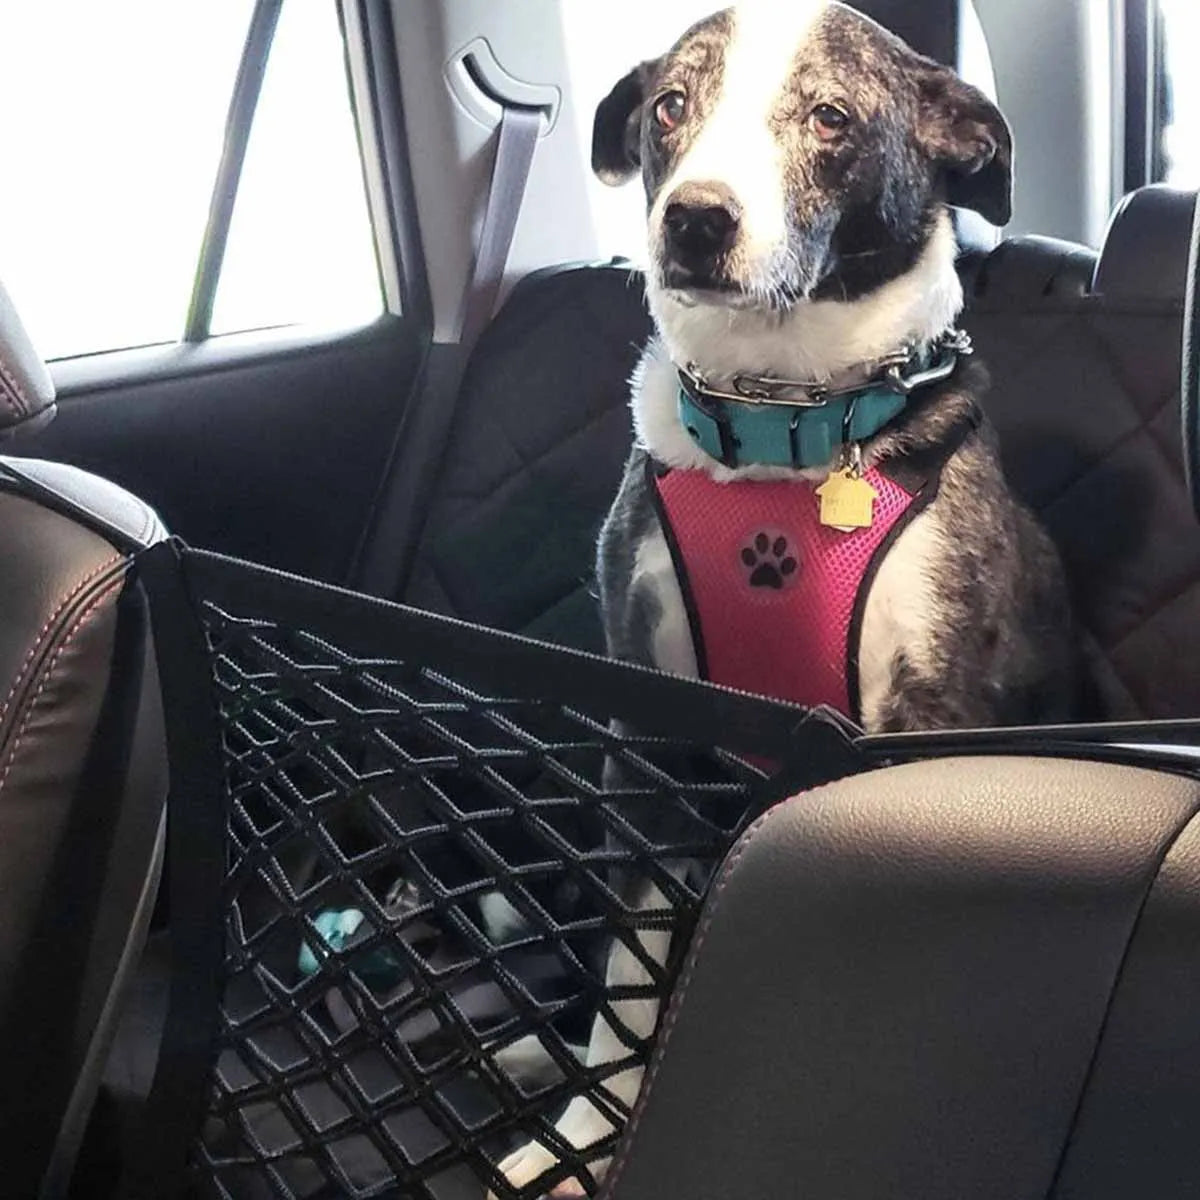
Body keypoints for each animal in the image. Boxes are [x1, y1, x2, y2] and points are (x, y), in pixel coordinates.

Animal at [492, 4, 1075, 1195]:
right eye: (672, 105)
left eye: (830, 117)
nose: (693, 220)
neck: (781, 424)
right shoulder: (648, 737)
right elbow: (629, 983)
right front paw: (585, 1139)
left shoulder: (926, 722)